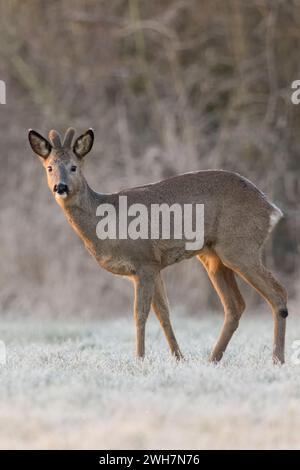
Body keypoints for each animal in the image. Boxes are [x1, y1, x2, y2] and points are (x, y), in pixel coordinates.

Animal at [28, 127, 288, 364]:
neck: (107, 221)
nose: (60, 187)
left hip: (239, 247)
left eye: (74, 167)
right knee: (235, 306)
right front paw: (179, 358)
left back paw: (277, 360)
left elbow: (140, 314)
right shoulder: (153, 267)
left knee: (277, 293)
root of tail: (271, 208)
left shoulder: (144, 261)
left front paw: (140, 359)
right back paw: (213, 359)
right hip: (213, 257)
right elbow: (164, 313)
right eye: (49, 167)